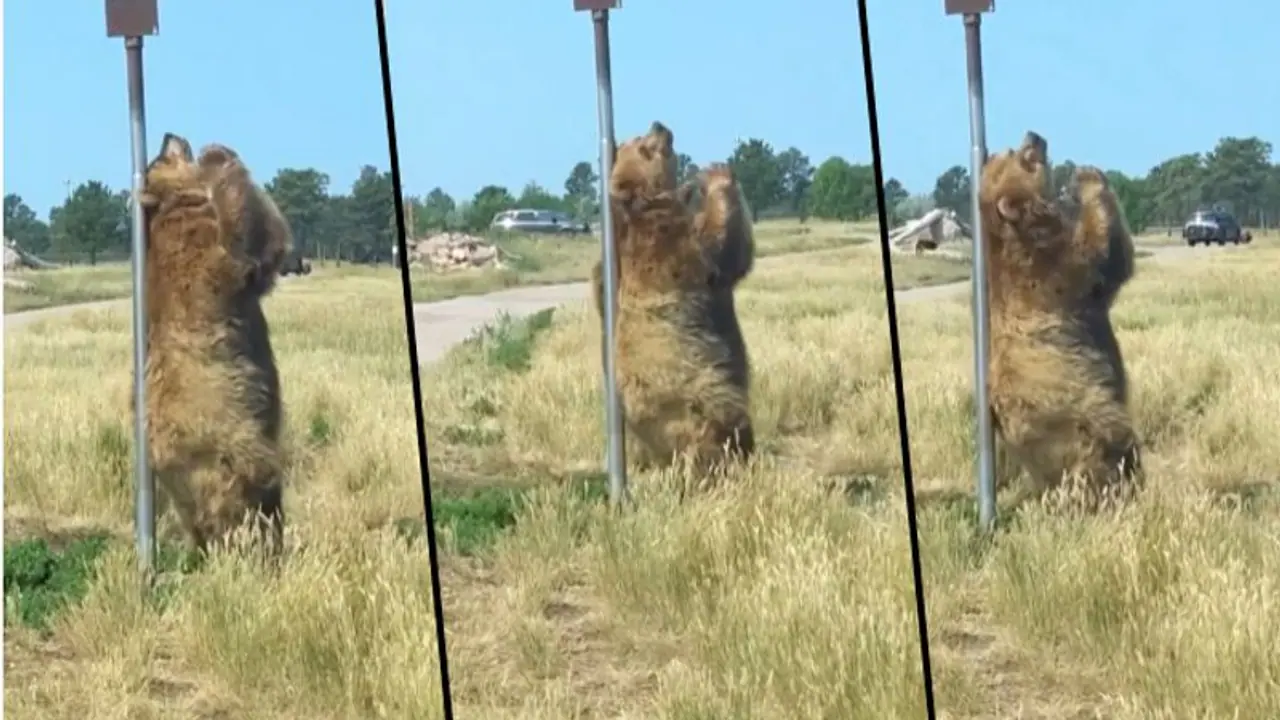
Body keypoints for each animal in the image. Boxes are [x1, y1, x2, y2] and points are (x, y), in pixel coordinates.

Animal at [137, 132, 287, 555]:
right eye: (159, 157)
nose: (169, 135)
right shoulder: (202, 255)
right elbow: (249, 250)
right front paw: (216, 158)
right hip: (226, 440)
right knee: (247, 497)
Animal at [980, 130, 1141, 507]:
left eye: (1008, 147)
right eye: (1020, 155)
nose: (1035, 135)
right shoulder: (1053, 271)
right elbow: (1104, 256)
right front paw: (1087, 177)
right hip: (1080, 415)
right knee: (1108, 450)